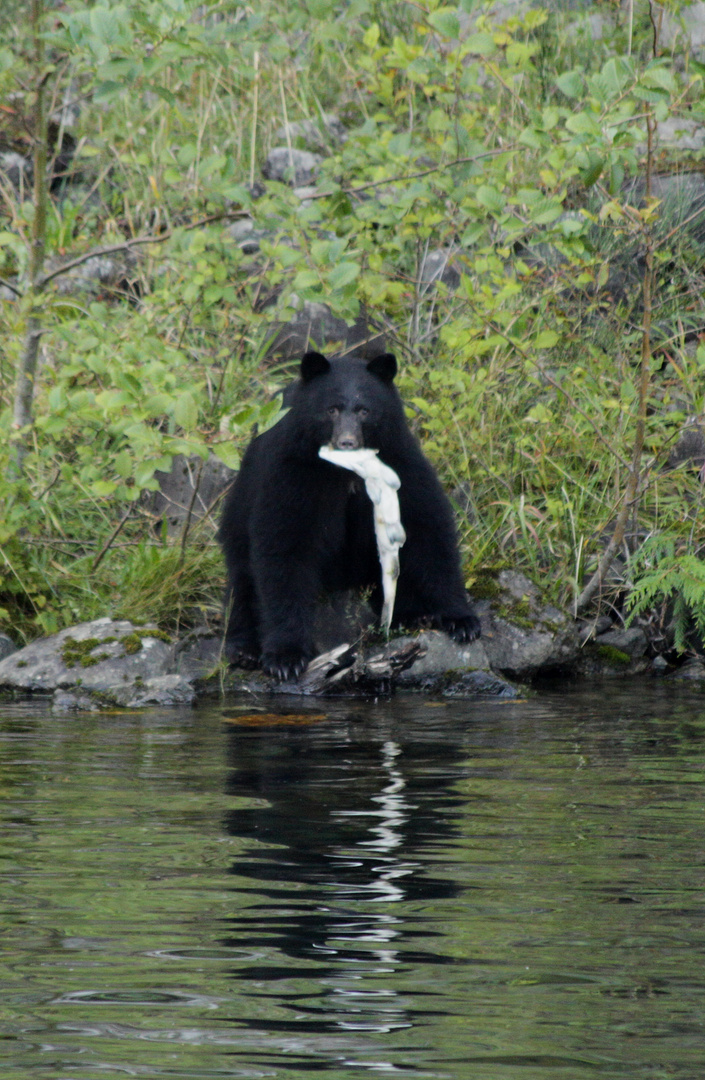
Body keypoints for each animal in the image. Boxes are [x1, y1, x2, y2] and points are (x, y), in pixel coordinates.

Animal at [217, 349, 481, 678]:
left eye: (364, 410)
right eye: (331, 409)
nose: (347, 442)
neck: (348, 470)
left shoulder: (401, 460)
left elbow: (428, 527)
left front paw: (462, 620)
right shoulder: (292, 471)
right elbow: (283, 544)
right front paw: (286, 656)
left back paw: (412, 613)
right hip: (239, 507)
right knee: (241, 579)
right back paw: (244, 649)